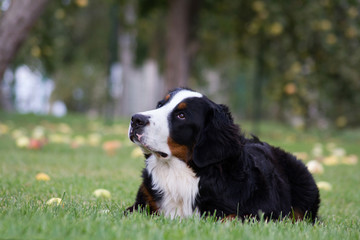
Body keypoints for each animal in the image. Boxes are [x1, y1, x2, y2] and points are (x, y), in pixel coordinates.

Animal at [126, 87, 320, 221]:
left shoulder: (259, 212)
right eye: (160, 105)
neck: (179, 172)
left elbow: (231, 218)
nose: (136, 119)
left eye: (181, 115)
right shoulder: (142, 205)